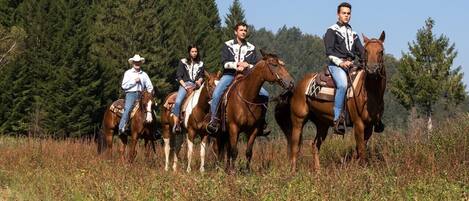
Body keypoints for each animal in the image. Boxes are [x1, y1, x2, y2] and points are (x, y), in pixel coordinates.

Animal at [274, 31, 384, 171]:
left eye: (381, 51)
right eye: (366, 50)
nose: (371, 69)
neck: (369, 93)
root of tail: (297, 86)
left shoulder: (369, 126)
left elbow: (359, 150)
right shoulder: (358, 123)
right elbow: (361, 150)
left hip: (322, 123)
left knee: (315, 145)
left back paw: (318, 171)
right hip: (298, 119)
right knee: (294, 146)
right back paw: (293, 171)